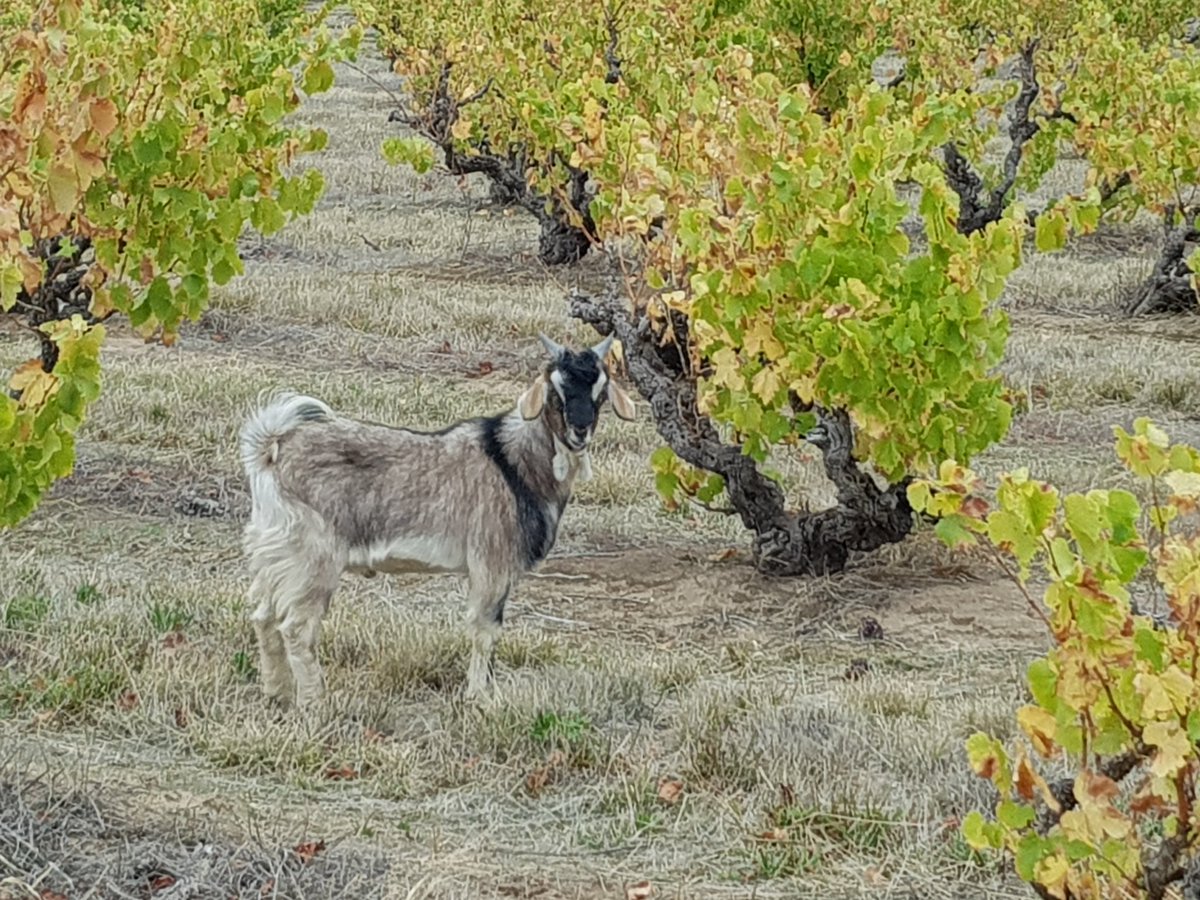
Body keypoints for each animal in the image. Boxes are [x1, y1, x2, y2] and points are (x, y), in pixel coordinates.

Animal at [238, 334, 636, 708]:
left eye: (601, 392)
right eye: (556, 390)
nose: (580, 431)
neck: (512, 462)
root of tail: (271, 450)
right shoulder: (492, 561)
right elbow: (485, 629)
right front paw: (479, 697)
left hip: (277, 554)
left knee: (263, 617)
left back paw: (276, 693)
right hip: (312, 558)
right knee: (296, 627)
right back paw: (313, 702)